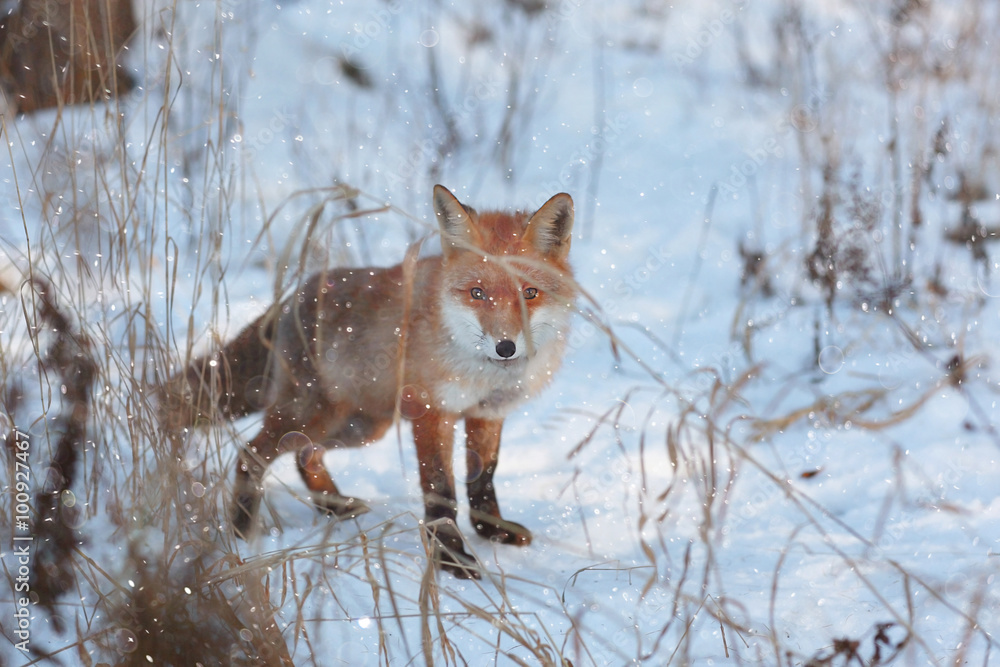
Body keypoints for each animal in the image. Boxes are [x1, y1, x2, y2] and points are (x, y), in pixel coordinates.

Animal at [160, 185, 576, 576]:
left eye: (530, 293)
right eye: (477, 293)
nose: (506, 347)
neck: (483, 373)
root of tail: (296, 293)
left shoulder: (487, 412)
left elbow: (482, 480)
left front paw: (492, 531)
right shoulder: (431, 411)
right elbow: (440, 490)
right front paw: (451, 559)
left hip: (361, 426)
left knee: (305, 456)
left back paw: (335, 508)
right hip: (310, 415)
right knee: (250, 455)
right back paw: (242, 532)